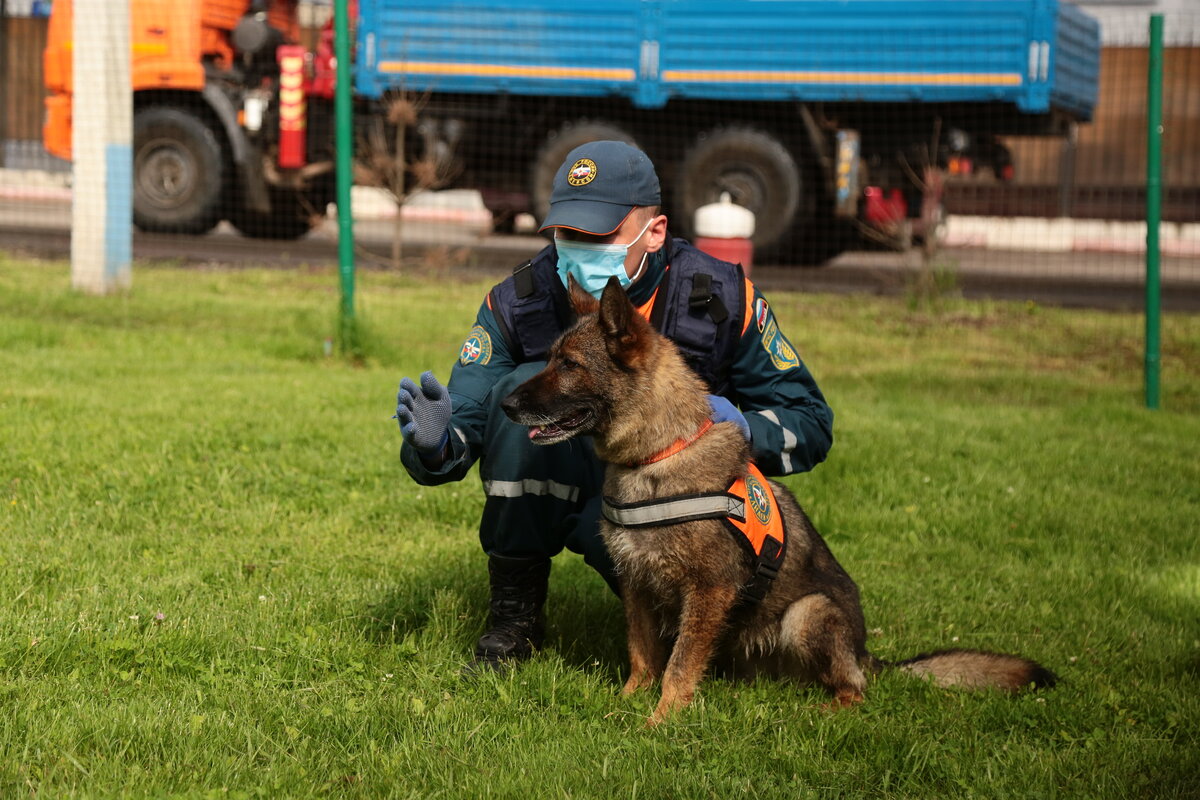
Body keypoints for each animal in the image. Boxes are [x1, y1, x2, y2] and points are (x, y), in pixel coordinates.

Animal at [501, 278, 1056, 729]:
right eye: (550, 358)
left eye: (569, 365)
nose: (505, 403)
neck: (659, 454)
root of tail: (867, 652)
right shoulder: (637, 584)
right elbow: (643, 654)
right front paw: (627, 702)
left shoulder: (709, 591)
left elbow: (678, 666)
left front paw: (659, 721)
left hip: (808, 615)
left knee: (856, 691)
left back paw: (824, 709)